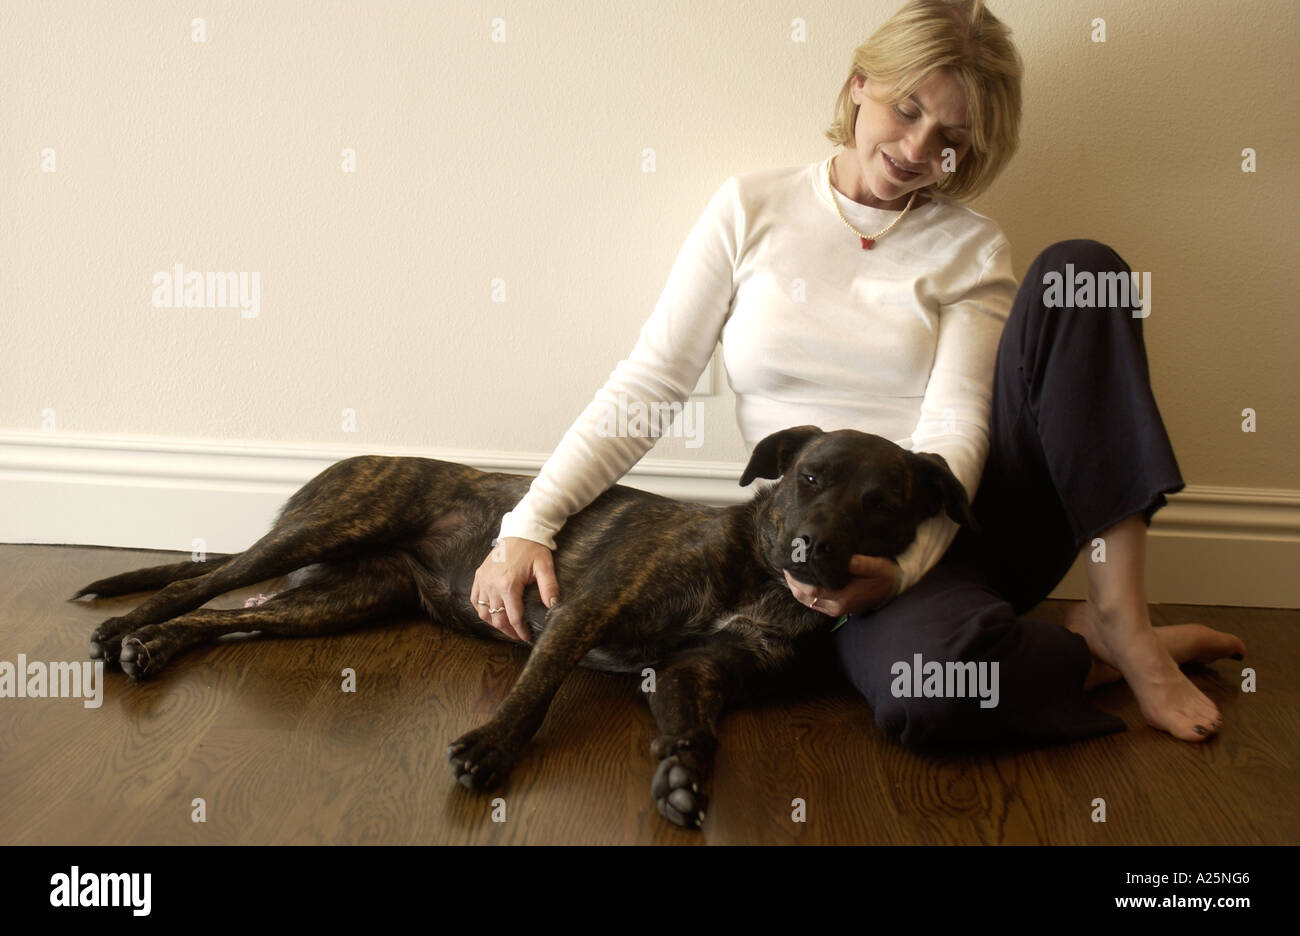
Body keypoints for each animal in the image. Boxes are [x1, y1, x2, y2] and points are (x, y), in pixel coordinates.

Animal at [76, 423, 972, 826]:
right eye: (809, 476)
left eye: (881, 504)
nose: (811, 548)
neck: (756, 572)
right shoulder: (585, 610)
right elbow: (537, 686)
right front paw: (491, 747)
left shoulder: (697, 672)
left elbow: (694, 727)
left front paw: (683, 775)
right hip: (327, 527)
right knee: (211, 579)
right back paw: (129, 627)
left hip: (336, 599)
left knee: (233, 616)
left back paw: (153, 645)